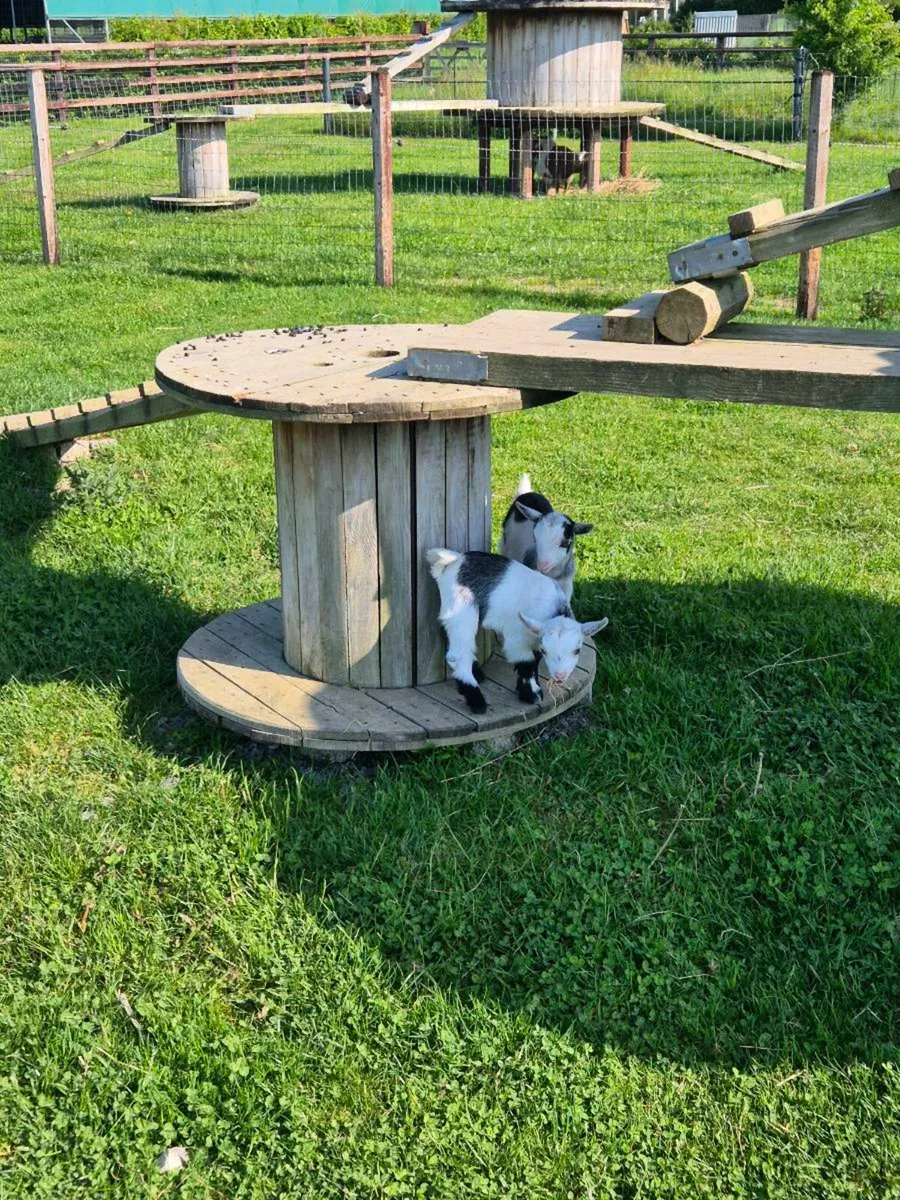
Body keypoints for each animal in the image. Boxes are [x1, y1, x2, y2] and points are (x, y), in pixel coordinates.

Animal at [427, 548, 607, 713]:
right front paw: (532, 694)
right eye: (547, 651)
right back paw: (477, 700)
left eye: (577, 650)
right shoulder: (517, 636)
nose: (560, 676)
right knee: (457, 655)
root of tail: (456, 559)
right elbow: (527, 662)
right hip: (463, 609)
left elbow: (535, 660)